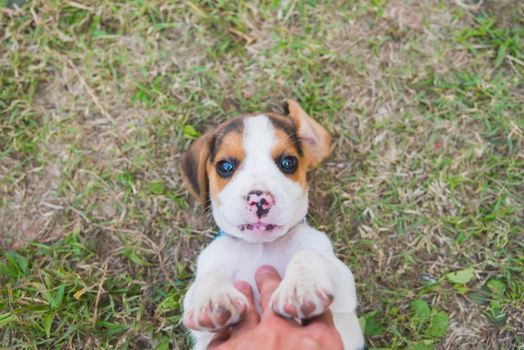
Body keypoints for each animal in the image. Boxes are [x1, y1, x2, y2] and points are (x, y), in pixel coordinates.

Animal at [180, 100, 364, 350]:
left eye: (288, 162)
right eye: (225, 166)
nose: (259, 199)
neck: (261, 247)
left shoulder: (344, 286)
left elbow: (307, 255)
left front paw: (300, 287)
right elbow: (210, 277)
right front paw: (213, 299)